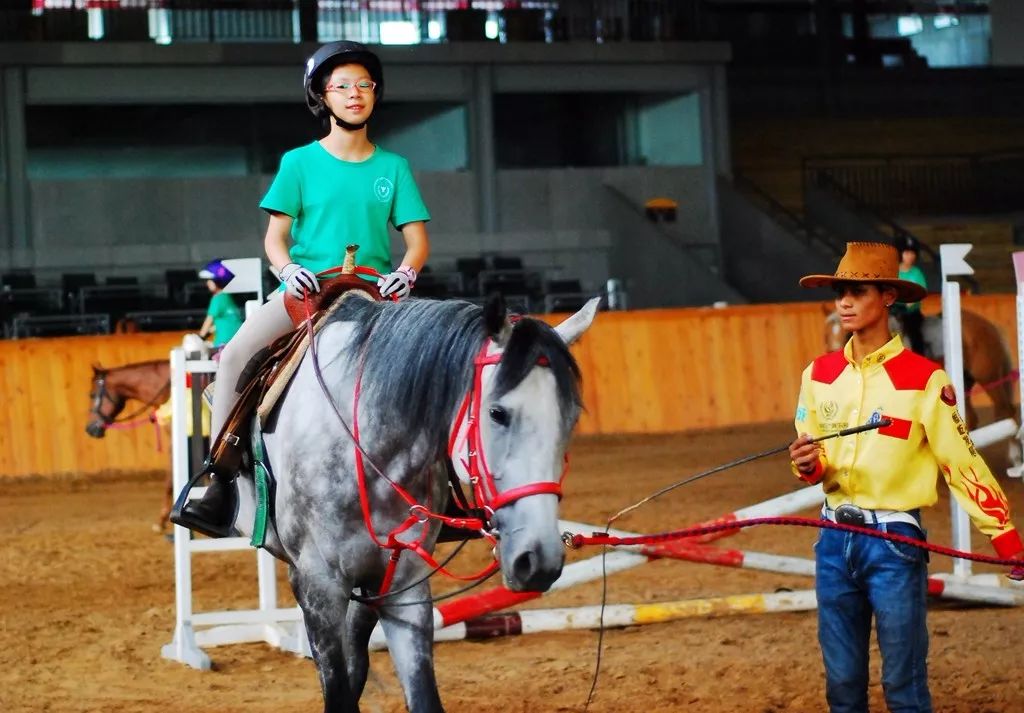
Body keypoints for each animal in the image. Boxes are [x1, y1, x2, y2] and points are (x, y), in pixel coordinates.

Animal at [232, 292, 598, 708]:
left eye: (570, 418)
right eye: (497, 412)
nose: (539, 560)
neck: (364, 448)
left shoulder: (403, 585)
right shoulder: (317, 586)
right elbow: (337, 693)